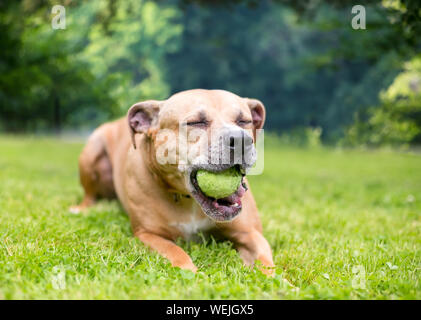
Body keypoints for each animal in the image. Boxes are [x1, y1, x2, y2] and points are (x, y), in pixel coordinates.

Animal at [70, 89, 274, 274]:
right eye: (196, 122)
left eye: (244, 121)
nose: (241, 140)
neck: (189, 200)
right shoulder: (148, 234)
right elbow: (175, 251)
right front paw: (190, 273)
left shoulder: (249, 233)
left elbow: (265, 262)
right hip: (92, 150)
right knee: (89, 194)